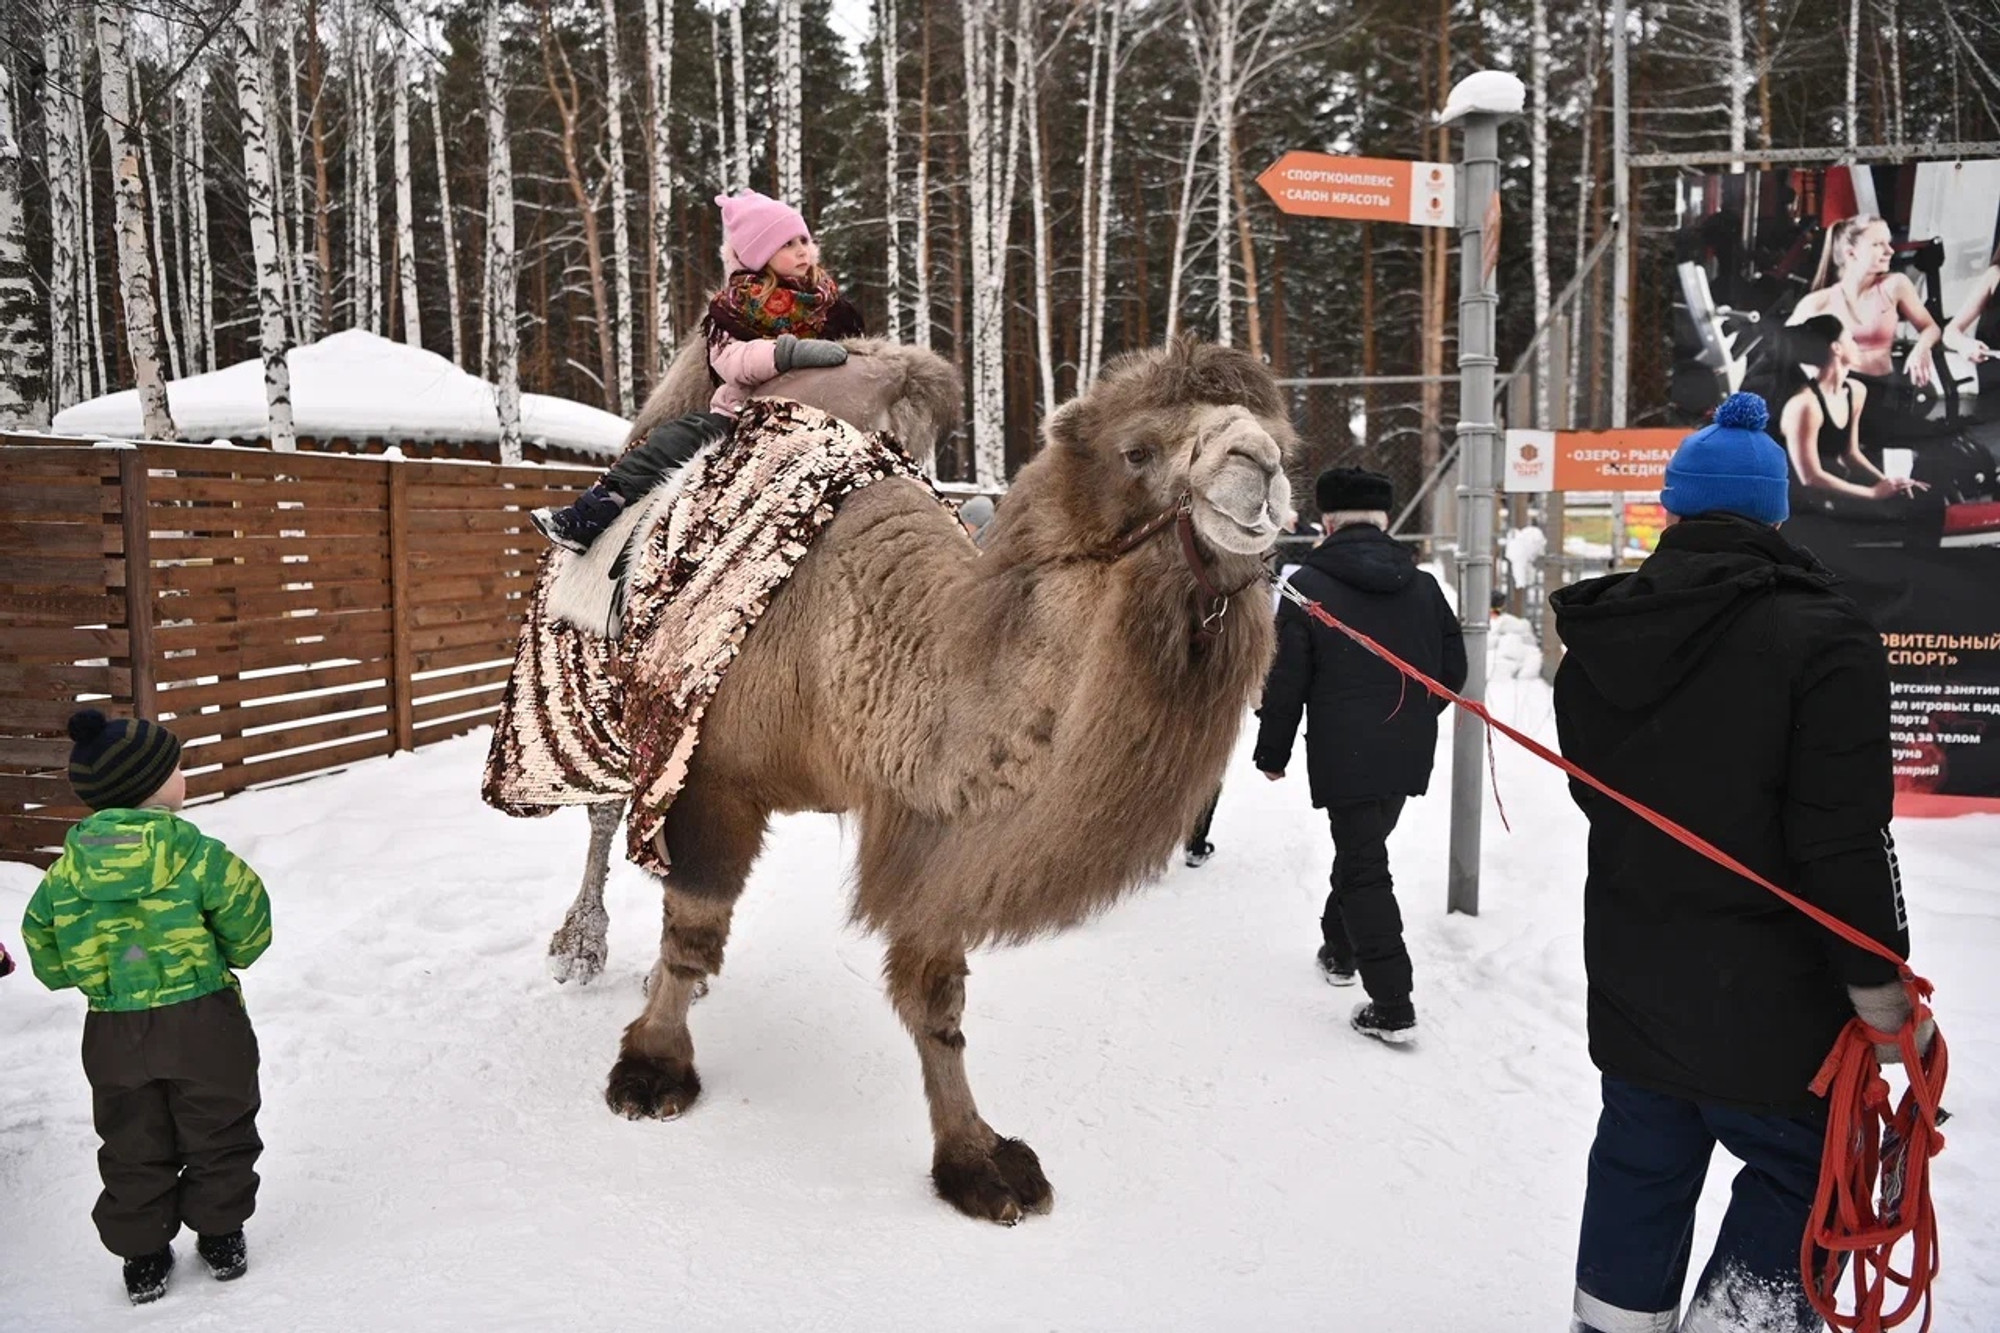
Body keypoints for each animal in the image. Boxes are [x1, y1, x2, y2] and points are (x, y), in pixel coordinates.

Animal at [588, 338, 1296, 1216]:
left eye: (1285, 439)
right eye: (1137, 451)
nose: (1260, 465)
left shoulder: (934, 825)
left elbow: (936, 996)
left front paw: (977, 1159)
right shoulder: (713, 771)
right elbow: (692, 927)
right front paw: (651, 1066)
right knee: (600, 824)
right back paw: (578, 945)